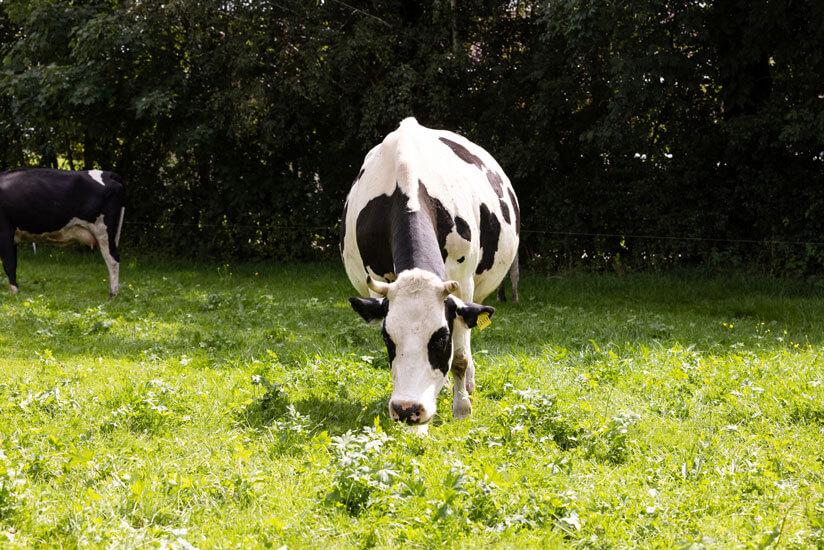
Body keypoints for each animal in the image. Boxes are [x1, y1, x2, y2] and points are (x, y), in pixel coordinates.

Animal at [0, 168, 125, 298]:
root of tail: (108, 174)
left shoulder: (5, 230)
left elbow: (9, 263)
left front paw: (13, 292)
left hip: (103, 230)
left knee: (112, 258)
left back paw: (113, 294)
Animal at [338, 118, 520, 430]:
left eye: (440, 339)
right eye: (387, 339)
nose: (407, 409)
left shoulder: (463, 285)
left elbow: (459, 358)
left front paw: (462, 408)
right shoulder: (377, 284)